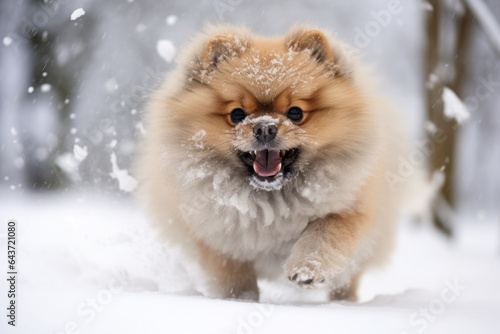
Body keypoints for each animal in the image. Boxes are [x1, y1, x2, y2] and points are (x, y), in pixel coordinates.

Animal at [137, 24, 406, 302]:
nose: (265, 127)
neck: (272, 199)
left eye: (295, 113)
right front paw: (239, 301)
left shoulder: (349, 210)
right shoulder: (218, 238)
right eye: (237, 114)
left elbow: (323, 236)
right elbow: (234, 277)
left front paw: (306, 269)